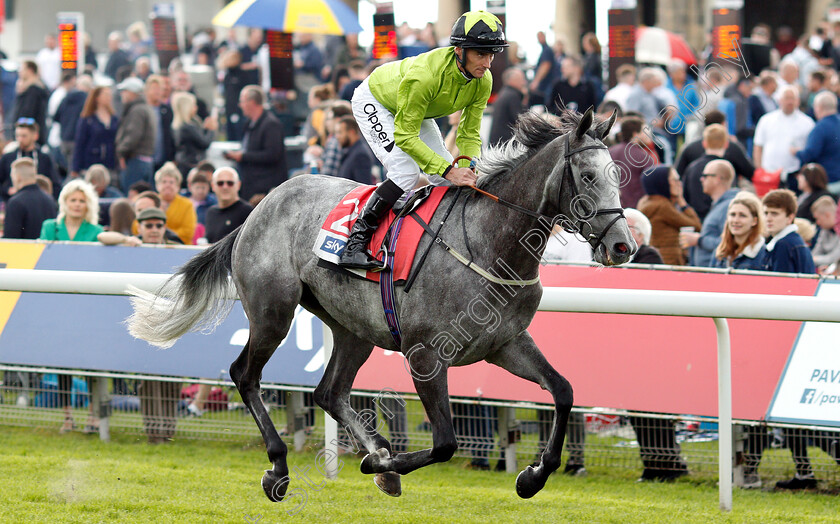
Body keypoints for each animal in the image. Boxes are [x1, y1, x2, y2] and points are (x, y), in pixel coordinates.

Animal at [128, 108, 632, 502]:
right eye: (588, 176)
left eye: (617, 175)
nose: (623, 246)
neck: (490, 242)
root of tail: (261, 205)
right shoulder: (424, 354)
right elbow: (445, 443)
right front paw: (379, 466)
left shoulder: (505, 343)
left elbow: (563, 391)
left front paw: (532, 477)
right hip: (273, 311)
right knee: (245, 375)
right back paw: (282, 466)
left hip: (353, 327)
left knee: (328, 392)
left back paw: (376, 454)